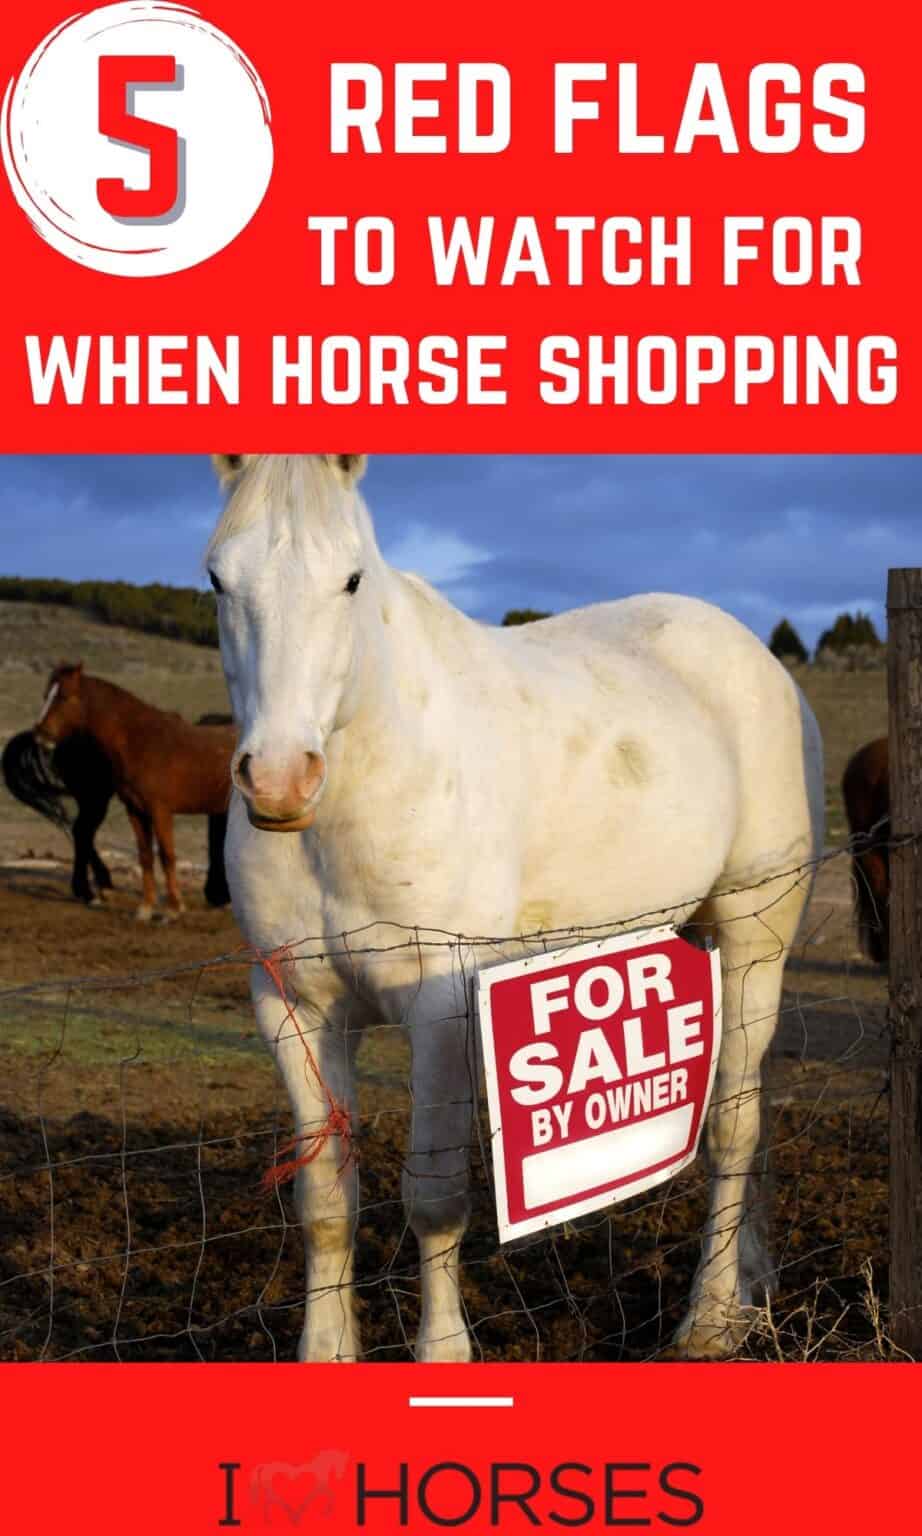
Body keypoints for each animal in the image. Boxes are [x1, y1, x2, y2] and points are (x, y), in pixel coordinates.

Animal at [2, 721, 234, 909]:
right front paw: (219, 894)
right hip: (95, 797)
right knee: (82, 831)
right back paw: (89, 891)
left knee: (81, 833)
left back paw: (99, 885)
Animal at [33, 667, 236, 920]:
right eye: (45, 695)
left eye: (64, 696)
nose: (40, 734)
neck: (140, 741)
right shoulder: (136, 811)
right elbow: (145, 856)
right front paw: (145, 909)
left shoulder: (160, 811)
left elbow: (166, 855)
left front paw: (173, 909)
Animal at [207, 452, 824, 1363]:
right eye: (218, 579)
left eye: (351, 579)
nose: (281, 778)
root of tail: (763, 665)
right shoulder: (295, 1005)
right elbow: (325, 1199)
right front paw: (326, 1352)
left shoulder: (440, 1004)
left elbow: (433, 1196)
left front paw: (443, 1354)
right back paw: (753, 1287)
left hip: (755, 940)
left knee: (735, 1126)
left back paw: (712, 1318)